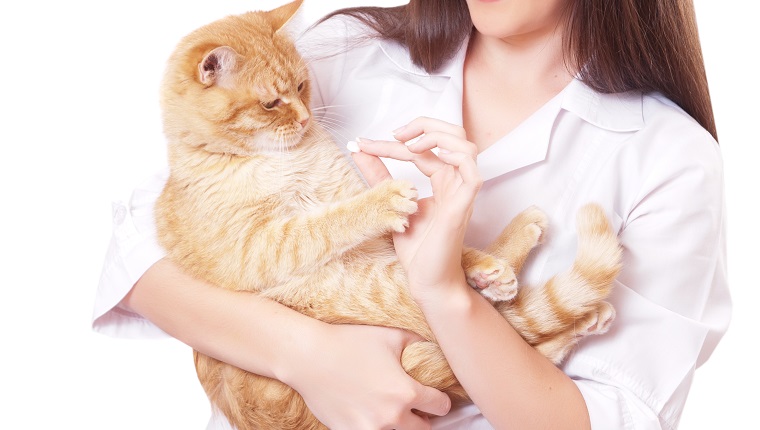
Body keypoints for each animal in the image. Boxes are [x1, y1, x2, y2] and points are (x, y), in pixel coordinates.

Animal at [156, 1, 624, 428]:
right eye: (271, 103)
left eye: (303, 86)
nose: (306, 118)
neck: (284, 158)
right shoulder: (257, 248)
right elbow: (323, 224)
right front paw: (382, 202)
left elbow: (451, 249)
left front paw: (482, 265)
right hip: (377, 290)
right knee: (510, 329)